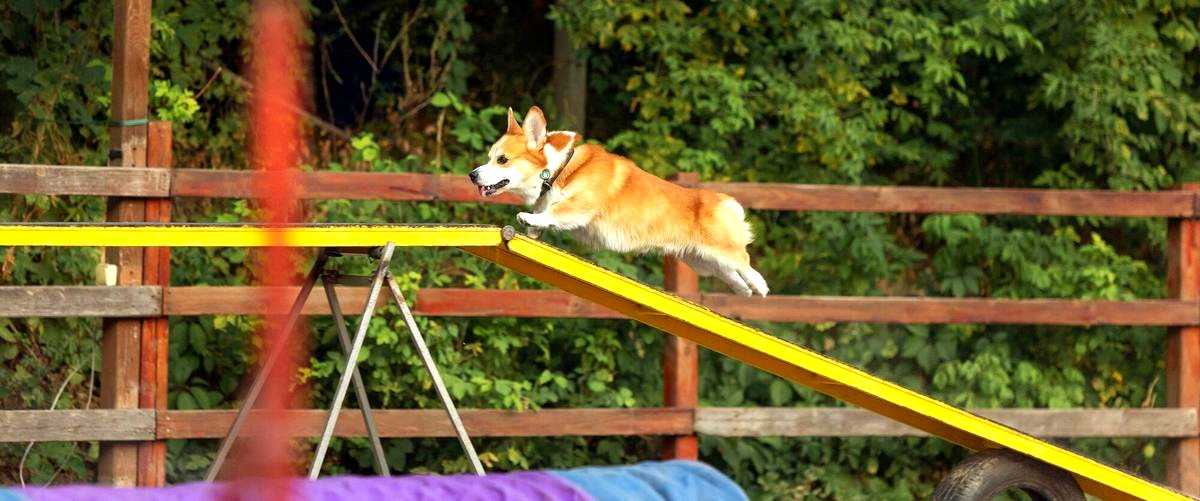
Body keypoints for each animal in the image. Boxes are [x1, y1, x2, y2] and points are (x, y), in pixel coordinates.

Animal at [468, 103, 768, 296]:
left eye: (502, 159)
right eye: (489, 157)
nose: (472, 175)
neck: (558, 169)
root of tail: (723, 200)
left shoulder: (581, 205)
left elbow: (556, 212)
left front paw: (528, 217)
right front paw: (533, 225)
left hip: (721, 251)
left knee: (745, 262)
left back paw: (760, 286)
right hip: (701, 260)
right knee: (730, 273)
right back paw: (744, 290)